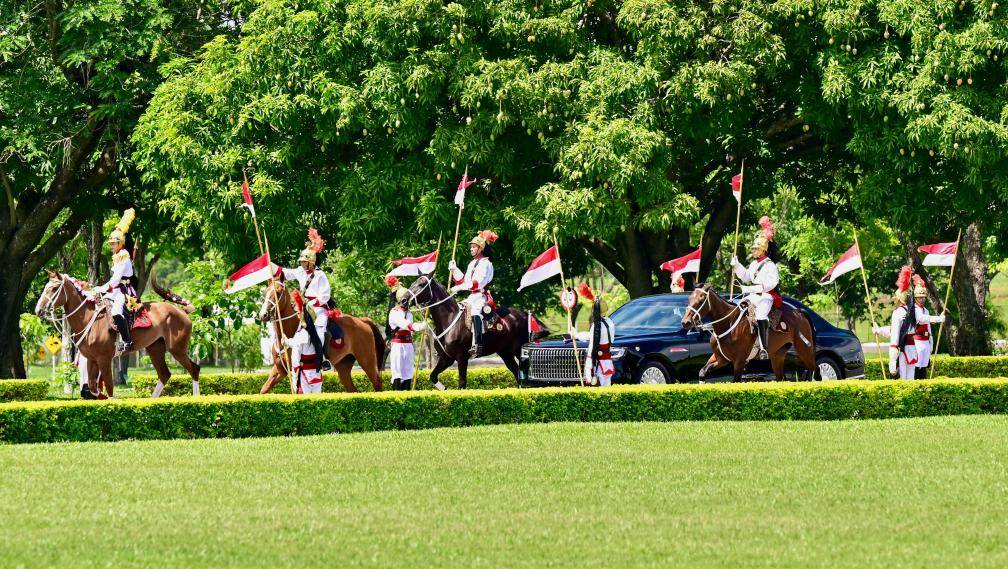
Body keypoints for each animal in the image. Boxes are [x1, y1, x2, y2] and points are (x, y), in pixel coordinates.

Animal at [35, 268, 202, 397]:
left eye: (54, 289)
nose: (38, 310)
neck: (90, 318)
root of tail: (182, 311)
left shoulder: (104, 359)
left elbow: (109, 388)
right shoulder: (91, 359)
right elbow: (92, 387)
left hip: (177, 349)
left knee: (194, 369)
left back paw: (196, 398)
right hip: (155, 348)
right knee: (164, 374)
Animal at [256, 278, 385, 391]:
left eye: (278, 293)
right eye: (265, 292)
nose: (263, 315)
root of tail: (362, 320)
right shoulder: (280, 370)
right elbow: (264, 389)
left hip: (367, 361)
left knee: (377, 383)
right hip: (343, 366)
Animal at [401, 276, 548, 391]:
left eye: (421, 284)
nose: (403, 300)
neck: (449, 319)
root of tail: (525, 314)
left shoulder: (461, 358)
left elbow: (462, 383)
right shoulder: (446, 358)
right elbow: (433, 376)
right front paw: (445, 389)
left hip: (519, 351)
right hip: (506, 354)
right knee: (517, 375)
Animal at [677, 284, 818, 381]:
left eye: (701, 300)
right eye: (689, 299)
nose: (685, 322)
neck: (728, 323)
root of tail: (799, 311)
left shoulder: (739, 361)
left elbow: (735, 381)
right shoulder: (721, 358)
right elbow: (702, 372)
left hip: (804, 350)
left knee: (814, 371)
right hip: (777, 356)